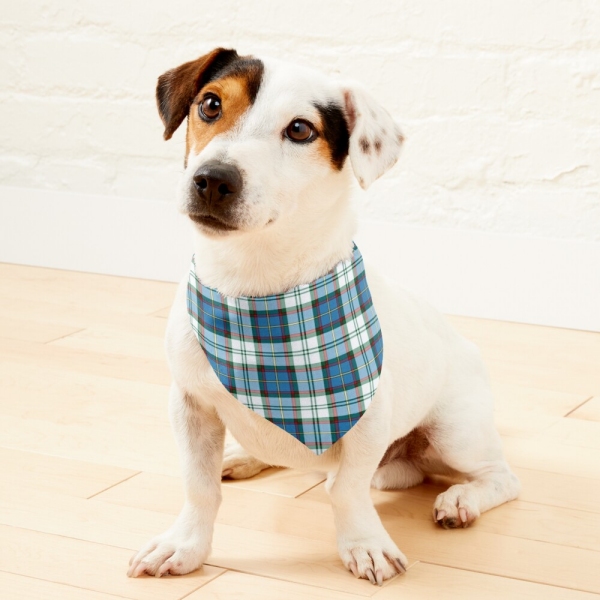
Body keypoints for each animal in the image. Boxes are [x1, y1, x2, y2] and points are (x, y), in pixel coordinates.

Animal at [127, 48, 520, 584]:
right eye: (210, 104)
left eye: (299, 130)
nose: (212, 179)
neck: (255, 291)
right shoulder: (190, 405)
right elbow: (199, 486)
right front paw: (185, 545)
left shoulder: (368, 420)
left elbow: (347, 490)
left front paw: (365, 545)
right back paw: (244, 457)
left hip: (456, 432)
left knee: (500, 477)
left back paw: (462, 499)